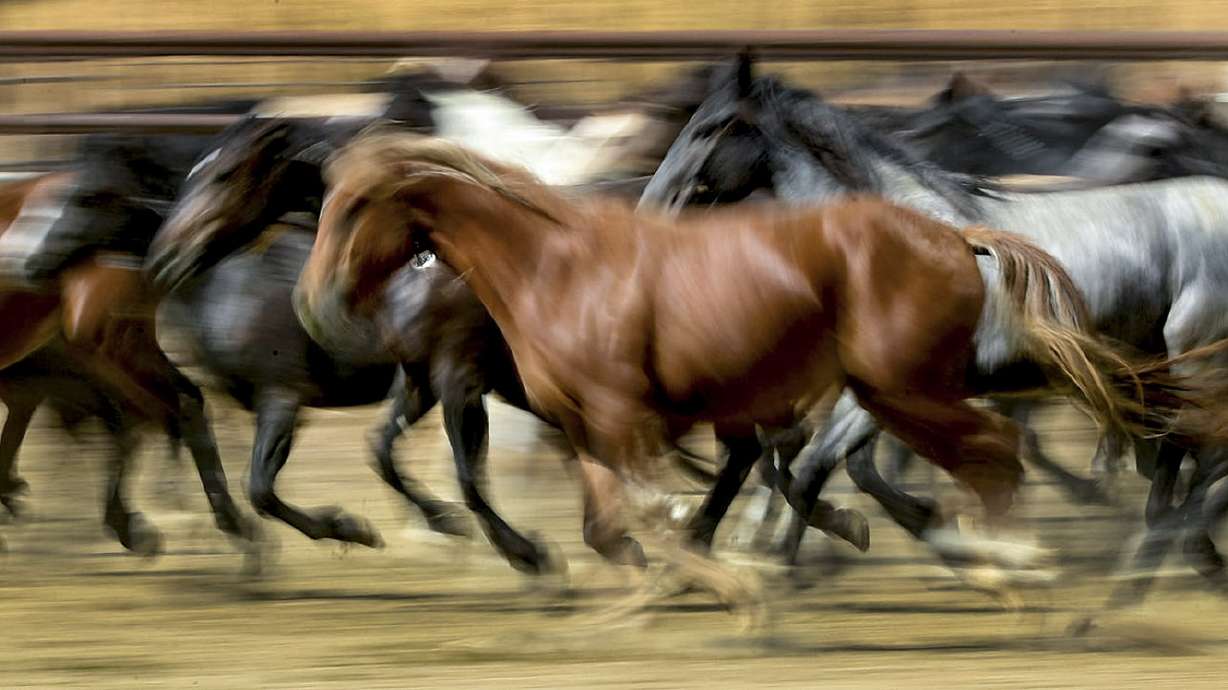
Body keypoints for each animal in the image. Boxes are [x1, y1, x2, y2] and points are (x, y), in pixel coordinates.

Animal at [291, 131, 1218, 614]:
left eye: (357, 206)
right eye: (321, 201)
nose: (314, 305)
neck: (555, 267)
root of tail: (958, 235)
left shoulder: (621, 415)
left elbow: (654, 510)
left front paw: (728, 582)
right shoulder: (588, 423)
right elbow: (612, 523)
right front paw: (652, 580)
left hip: (901, 388)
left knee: (991, 454)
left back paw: (1013, 565)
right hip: (889, 391)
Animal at [639, 56, 1228, 608]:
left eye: (712, 128)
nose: (652, 203)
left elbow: (821, 466)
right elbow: (826, 466)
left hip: (1193, 357)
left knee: (1193, 456)